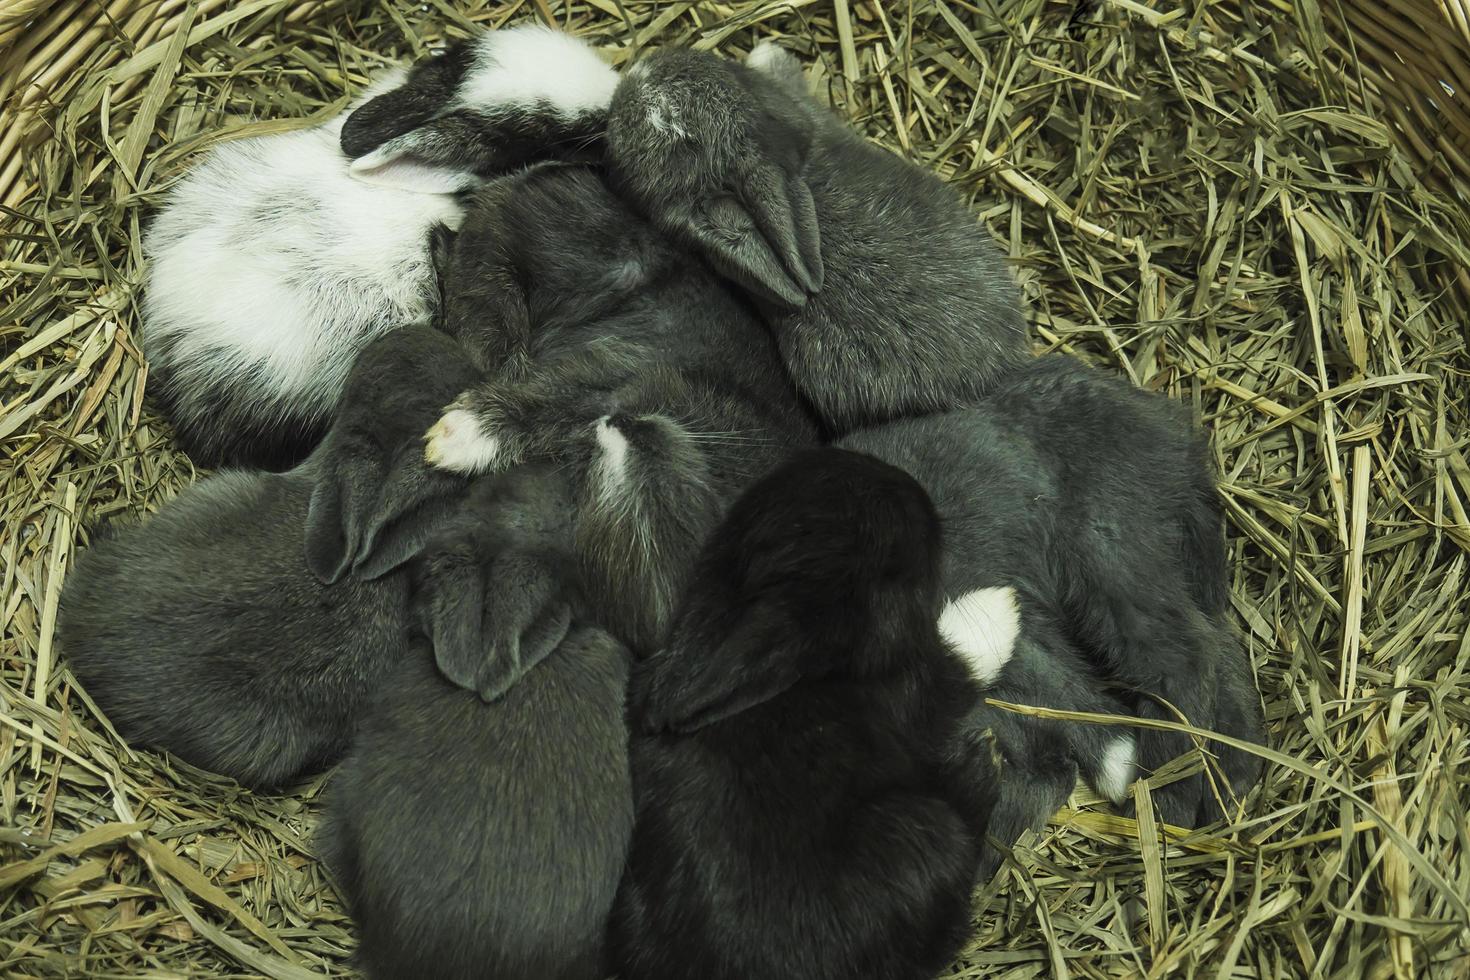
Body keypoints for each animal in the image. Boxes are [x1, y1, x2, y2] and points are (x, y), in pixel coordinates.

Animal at [608, 449, 999, 980]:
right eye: (899, 566)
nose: (910, 485)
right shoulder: (928, 682)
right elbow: (965, 659)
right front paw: (1001, 603)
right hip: (928, 836)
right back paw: (981, 767)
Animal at [846, 352, 1270, 828]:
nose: (1055, 773)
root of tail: (1179, 436)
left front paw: (1117, 764)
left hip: (1108, 545)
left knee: (1181, 654)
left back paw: (1164, 801)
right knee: (1219, 642)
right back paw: (1229, 782)